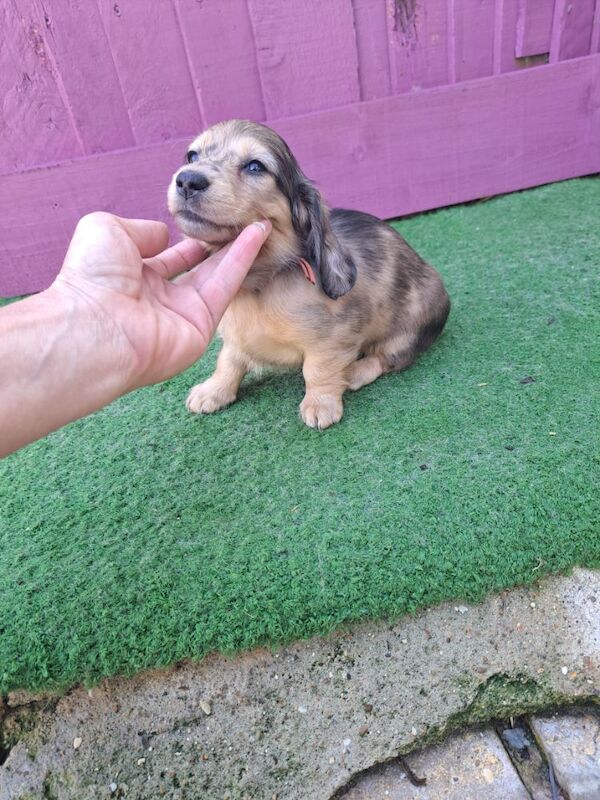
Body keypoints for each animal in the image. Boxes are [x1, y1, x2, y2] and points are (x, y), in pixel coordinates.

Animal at [166, 119, 448, 428]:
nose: (188, 180)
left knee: (386, 357)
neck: (260, 284)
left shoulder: (332, 340)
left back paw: (354, 372)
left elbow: (316, 369)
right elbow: (228, 361)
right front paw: (214, 391)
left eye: (255, 166)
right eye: (192, 156)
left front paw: (320, 403)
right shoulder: (235, 339)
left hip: (410, 328)